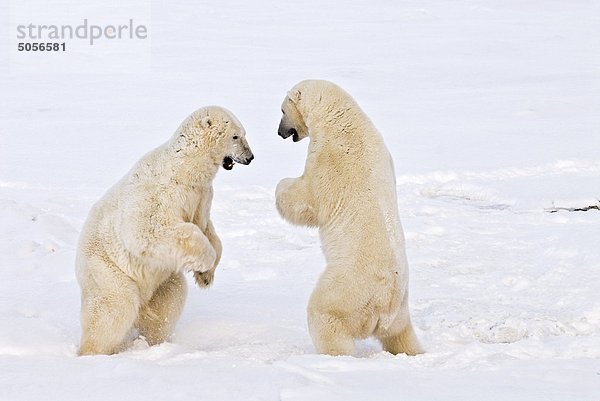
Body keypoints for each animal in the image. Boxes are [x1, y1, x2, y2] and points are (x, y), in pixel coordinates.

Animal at [75, 105, 253, 354]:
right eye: (236, 136)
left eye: (243, 133)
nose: (250, 157)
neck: (186, 169)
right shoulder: (161, 194)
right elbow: (150, 230)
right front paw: (205, 262)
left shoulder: (202, 197)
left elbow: (207, 229)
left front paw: (206, 276)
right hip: (107, 270)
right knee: (114, 307)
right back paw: (94, 350)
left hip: (162, 281)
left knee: (168, 302)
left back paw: (155, 341)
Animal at [276, 79, 422, 354]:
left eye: (282, 111)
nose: (280, 132)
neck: (339, 117)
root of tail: (384, 305)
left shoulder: (329, 157)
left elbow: (308, 200)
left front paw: (281, 187)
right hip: (400, 310)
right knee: (401, 335)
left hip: (347, 289)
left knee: (324, 315)